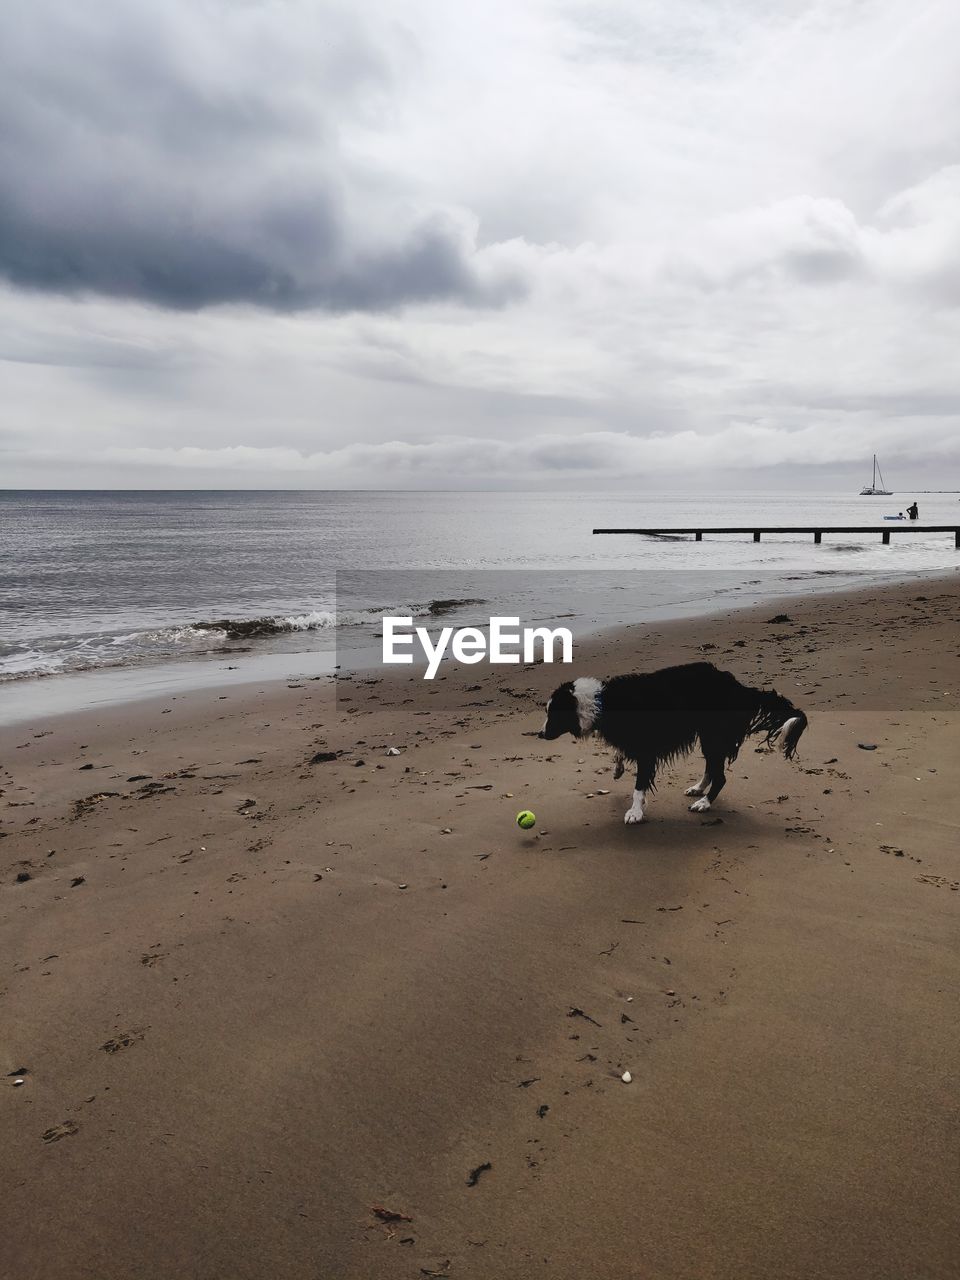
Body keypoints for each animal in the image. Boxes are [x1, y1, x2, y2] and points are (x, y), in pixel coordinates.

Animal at [545, 665, 808, 824]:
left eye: (553, 715)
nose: (540, 734)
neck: (602, 702)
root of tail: (738, 687)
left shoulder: (646, 749)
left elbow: (639, 786)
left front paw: (635, 812)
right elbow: (622, 754)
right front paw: (618, 769)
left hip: (713, 735)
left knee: (720, 776)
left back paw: (704, 803)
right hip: (708, 736)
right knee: (712, 768)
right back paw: (698, 789)